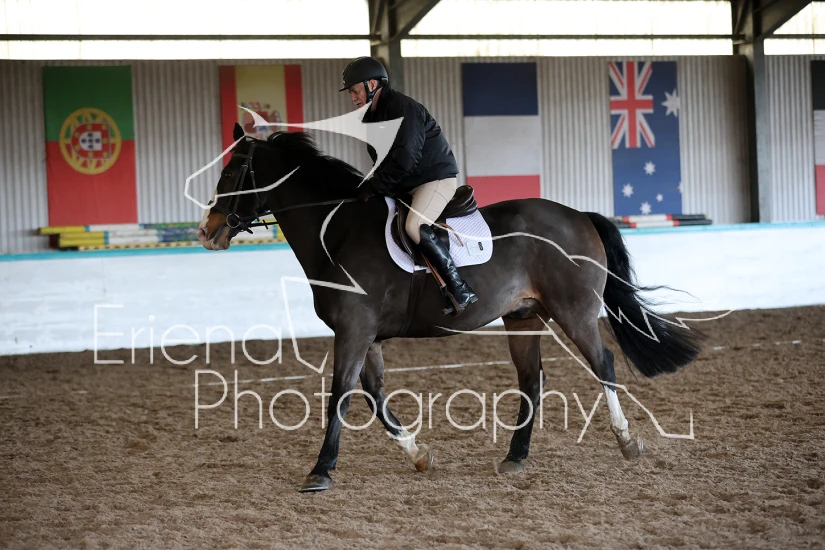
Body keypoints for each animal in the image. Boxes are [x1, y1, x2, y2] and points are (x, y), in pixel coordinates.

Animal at [197, 123, 704, 492]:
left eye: (234, 174)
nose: (207, 231)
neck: (337, 231)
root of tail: (580, 216)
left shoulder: (354, 331)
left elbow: (340, 394)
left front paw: (320, 470)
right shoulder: (364, 335)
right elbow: (374, 394)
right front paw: (418, 454)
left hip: (573, 311)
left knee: (603, 364)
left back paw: (627, 442)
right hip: (523, 317)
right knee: (532, 381)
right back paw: (514, 458)